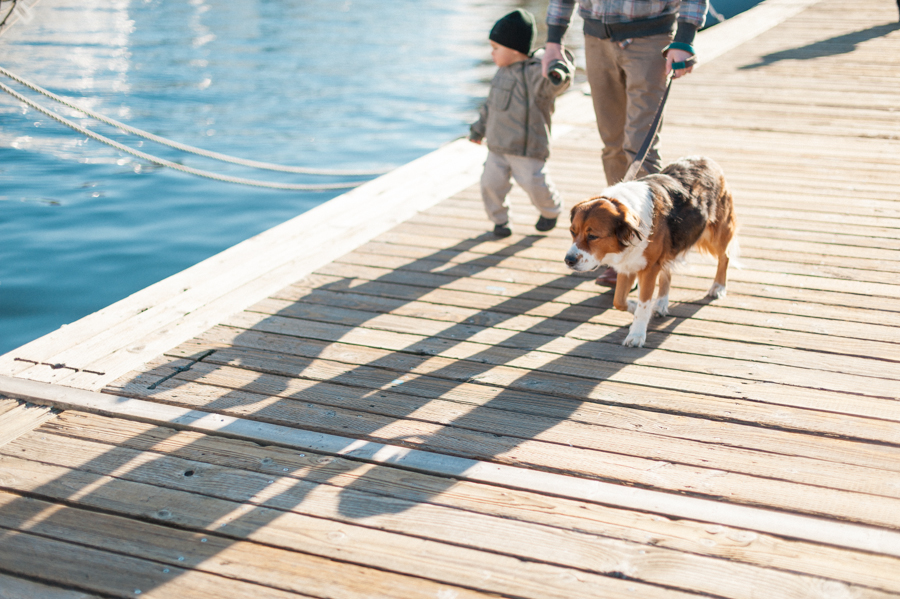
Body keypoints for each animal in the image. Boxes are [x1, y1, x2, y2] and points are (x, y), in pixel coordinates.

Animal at [568, 157, 736, 350]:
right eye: (572, 232)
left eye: (593, 236)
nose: (568, 260)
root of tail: (705, 159)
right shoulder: (628, 265)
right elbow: (619, 301)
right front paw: (633, 306)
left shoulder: (648, 268)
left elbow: (643, 304)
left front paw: (637, 333)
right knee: (666, 273)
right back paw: (661, 303)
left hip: (717, 233)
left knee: (725, 257)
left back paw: (718, 287)